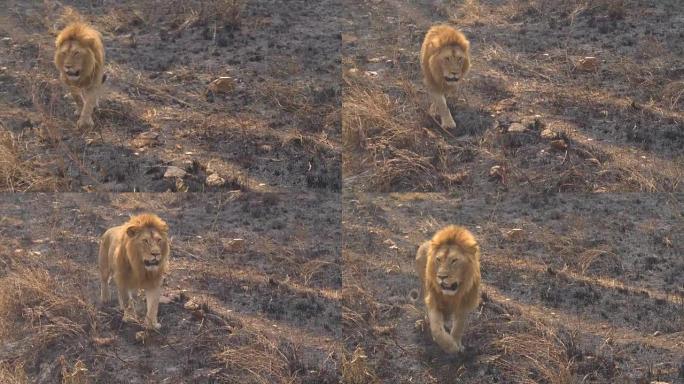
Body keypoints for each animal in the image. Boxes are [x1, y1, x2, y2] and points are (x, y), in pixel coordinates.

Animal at [414, 225, 478, 354]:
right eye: (438, 259)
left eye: (454, 260)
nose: (441, 277)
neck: (451, 295)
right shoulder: (434, 301)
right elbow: (437, 329)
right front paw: (450, 346)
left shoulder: (464, 304)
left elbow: (459, 327)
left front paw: (457, 344)